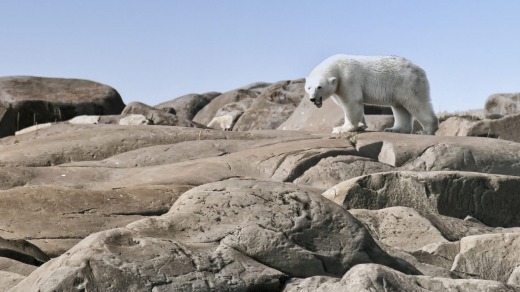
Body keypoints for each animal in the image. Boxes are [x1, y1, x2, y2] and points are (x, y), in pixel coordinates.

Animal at [304, 54, 438, 135]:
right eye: (308, 87)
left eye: (319, 87)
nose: (312, 99)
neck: (337, 66)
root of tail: (420, 69)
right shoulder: (338, 86)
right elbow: (346, 105)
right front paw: (361, 125)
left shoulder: (348, 79)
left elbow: (351, 102)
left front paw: (341, 128)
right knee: (400, 107)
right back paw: (394, 129)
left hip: (408, 83)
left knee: (417, 103)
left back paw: (426, 131)